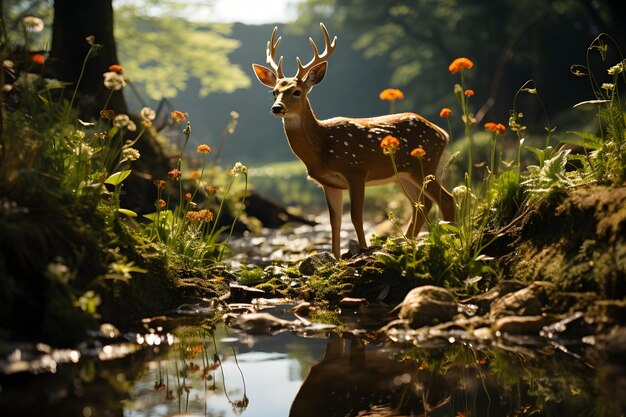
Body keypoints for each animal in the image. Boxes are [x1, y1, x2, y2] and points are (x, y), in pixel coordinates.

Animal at [251, 22, 450, 258]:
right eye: (274, 92)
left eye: (297, 91)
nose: (277, 108)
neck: (322, 147)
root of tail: (442, 133)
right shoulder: (329, 183)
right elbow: (334, 222)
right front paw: (337, 259)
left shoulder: (355, 169)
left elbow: (356, 217)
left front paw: (363, 250)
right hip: (406, 174)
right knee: (422, 205)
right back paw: (408, 242)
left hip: (424, 163)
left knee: (446, 200)